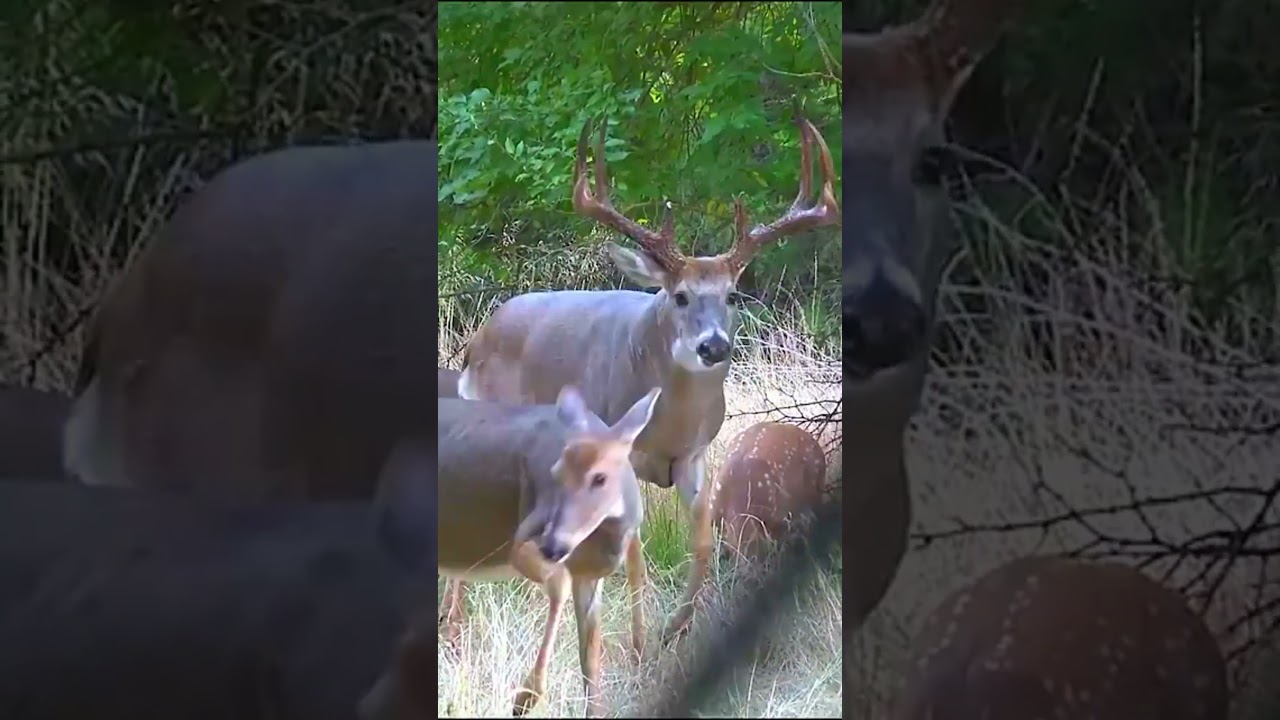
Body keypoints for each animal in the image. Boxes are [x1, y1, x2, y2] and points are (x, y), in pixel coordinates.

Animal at [399, 386, 660, 717]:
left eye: (599, 478)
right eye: (556, 473)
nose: (553, 545)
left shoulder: (588, 575)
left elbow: (589, 657)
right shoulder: (527, 536)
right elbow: (555, 584)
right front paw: (525, 697)